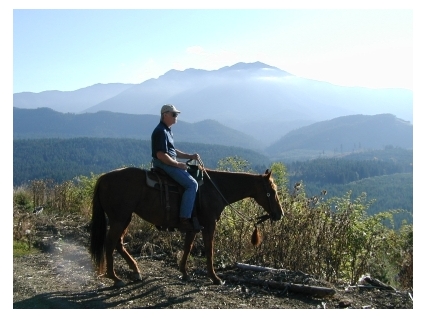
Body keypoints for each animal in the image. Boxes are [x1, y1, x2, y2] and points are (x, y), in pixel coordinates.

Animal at [88, 166, 282, 286]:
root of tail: (103, 178)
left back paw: (135, 271)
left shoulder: (193, 226)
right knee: (110, 243)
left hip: (124, 218)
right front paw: (215, 278)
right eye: (272, 191)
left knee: (118, 243)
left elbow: (188, 247)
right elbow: (209, 249)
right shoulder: (209, 224)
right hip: (119, 219)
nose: (280, 214)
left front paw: (184, 272)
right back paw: (115, 278)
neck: (215, 188)